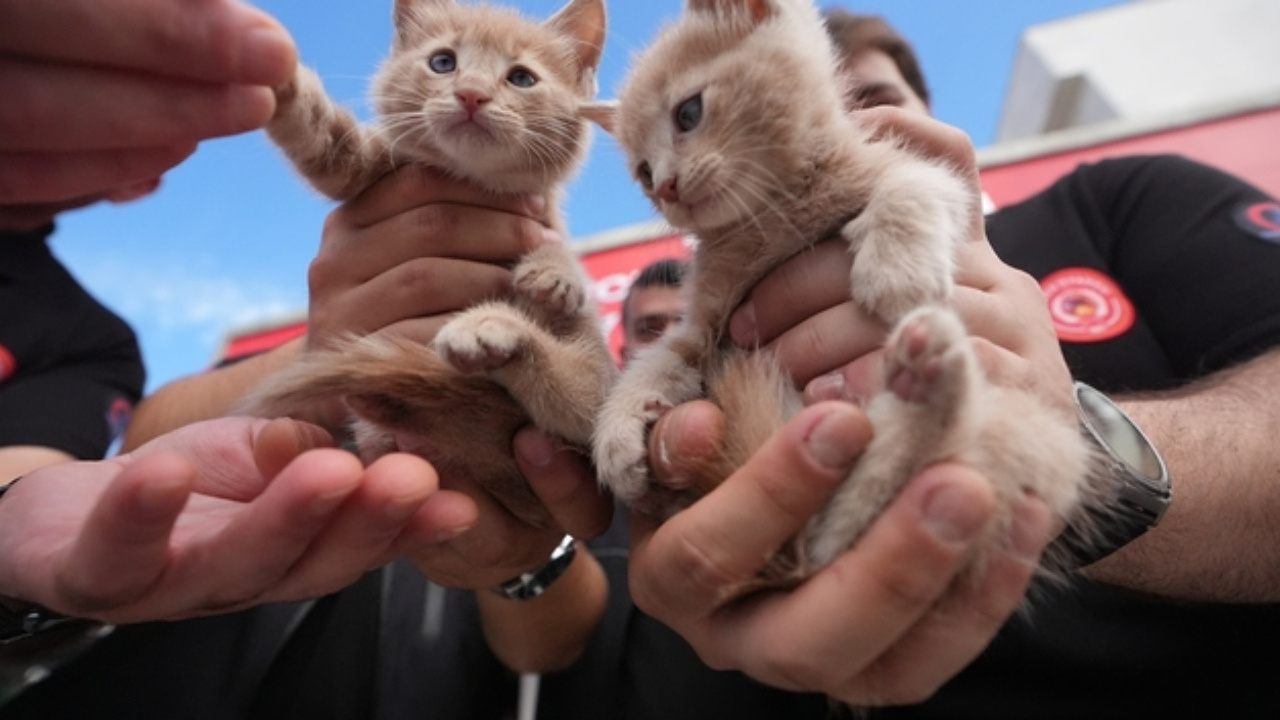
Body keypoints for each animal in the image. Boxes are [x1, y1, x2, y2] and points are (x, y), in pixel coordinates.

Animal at [244, 0, 619, 527]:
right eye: (443, 62)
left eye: (521, 78)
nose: (471, 94)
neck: (472, 178)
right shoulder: (365, 169)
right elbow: (324, 140)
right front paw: (279, 78)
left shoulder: (541, 213)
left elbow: (558, 244)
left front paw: (555, 272)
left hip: (593, 386)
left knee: (575, 395)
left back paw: (489, 331)